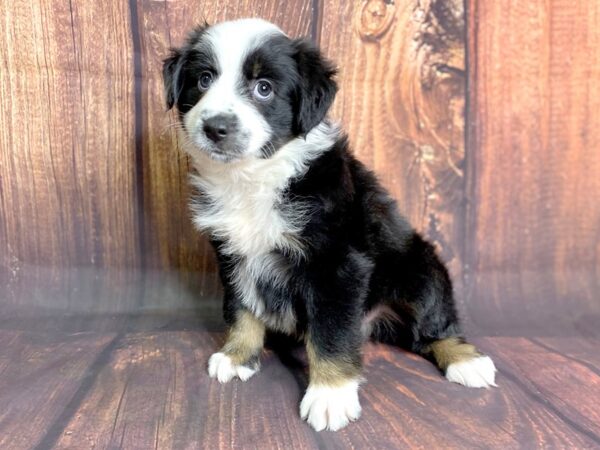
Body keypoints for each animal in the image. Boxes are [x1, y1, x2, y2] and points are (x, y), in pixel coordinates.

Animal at [162, 18, 494, 432]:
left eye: (263, 88)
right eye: (204, 79)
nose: (215, 127)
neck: (254, 177)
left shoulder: (338, 265)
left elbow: (332, 332)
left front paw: (330, 395)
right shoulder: (233, 255)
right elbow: (241, 308)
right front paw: (238, 356)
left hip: (420, 270)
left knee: (433, 328)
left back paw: (467, 361)